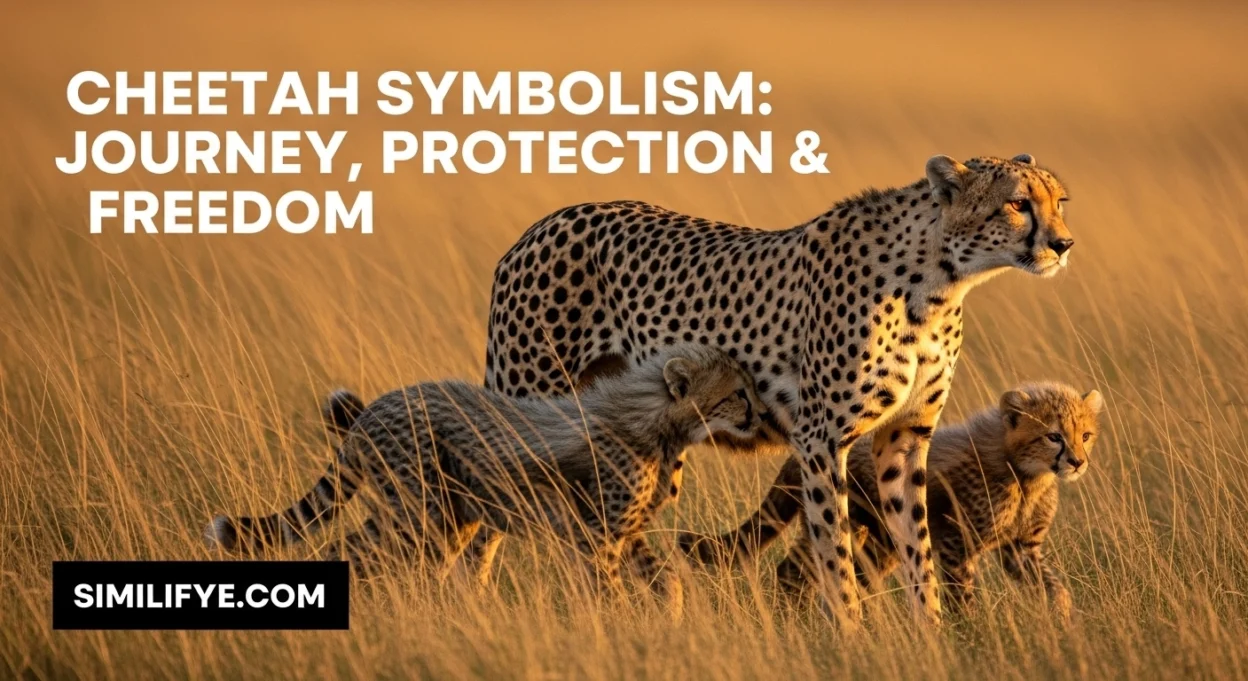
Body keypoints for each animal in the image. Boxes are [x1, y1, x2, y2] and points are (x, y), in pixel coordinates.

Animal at [204, 344, 774, 618]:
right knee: (360, 552)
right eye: (738, 394)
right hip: (422, 517)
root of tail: (379, 405)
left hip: (435, 515)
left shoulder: (626, 535)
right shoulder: (597, 535)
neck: (657, 420)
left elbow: (665, 580)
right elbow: (605, 589)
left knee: (353, 550)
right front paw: (615, 630)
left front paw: (669, 621)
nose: (764, 414)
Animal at [683, 382, 1102, 623]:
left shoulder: (1022, 548)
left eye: (1085, 435)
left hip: (881, 542)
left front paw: (1064, 622)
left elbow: (1055, 587)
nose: (1078, 462)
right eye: (1053, 436)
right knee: (794, 572)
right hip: (844, 526)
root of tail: (801, 453)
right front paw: (969, 635)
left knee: (849, 577)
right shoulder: (955, 544)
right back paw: (799, 625)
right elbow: (961, 595)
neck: (1025, 475)